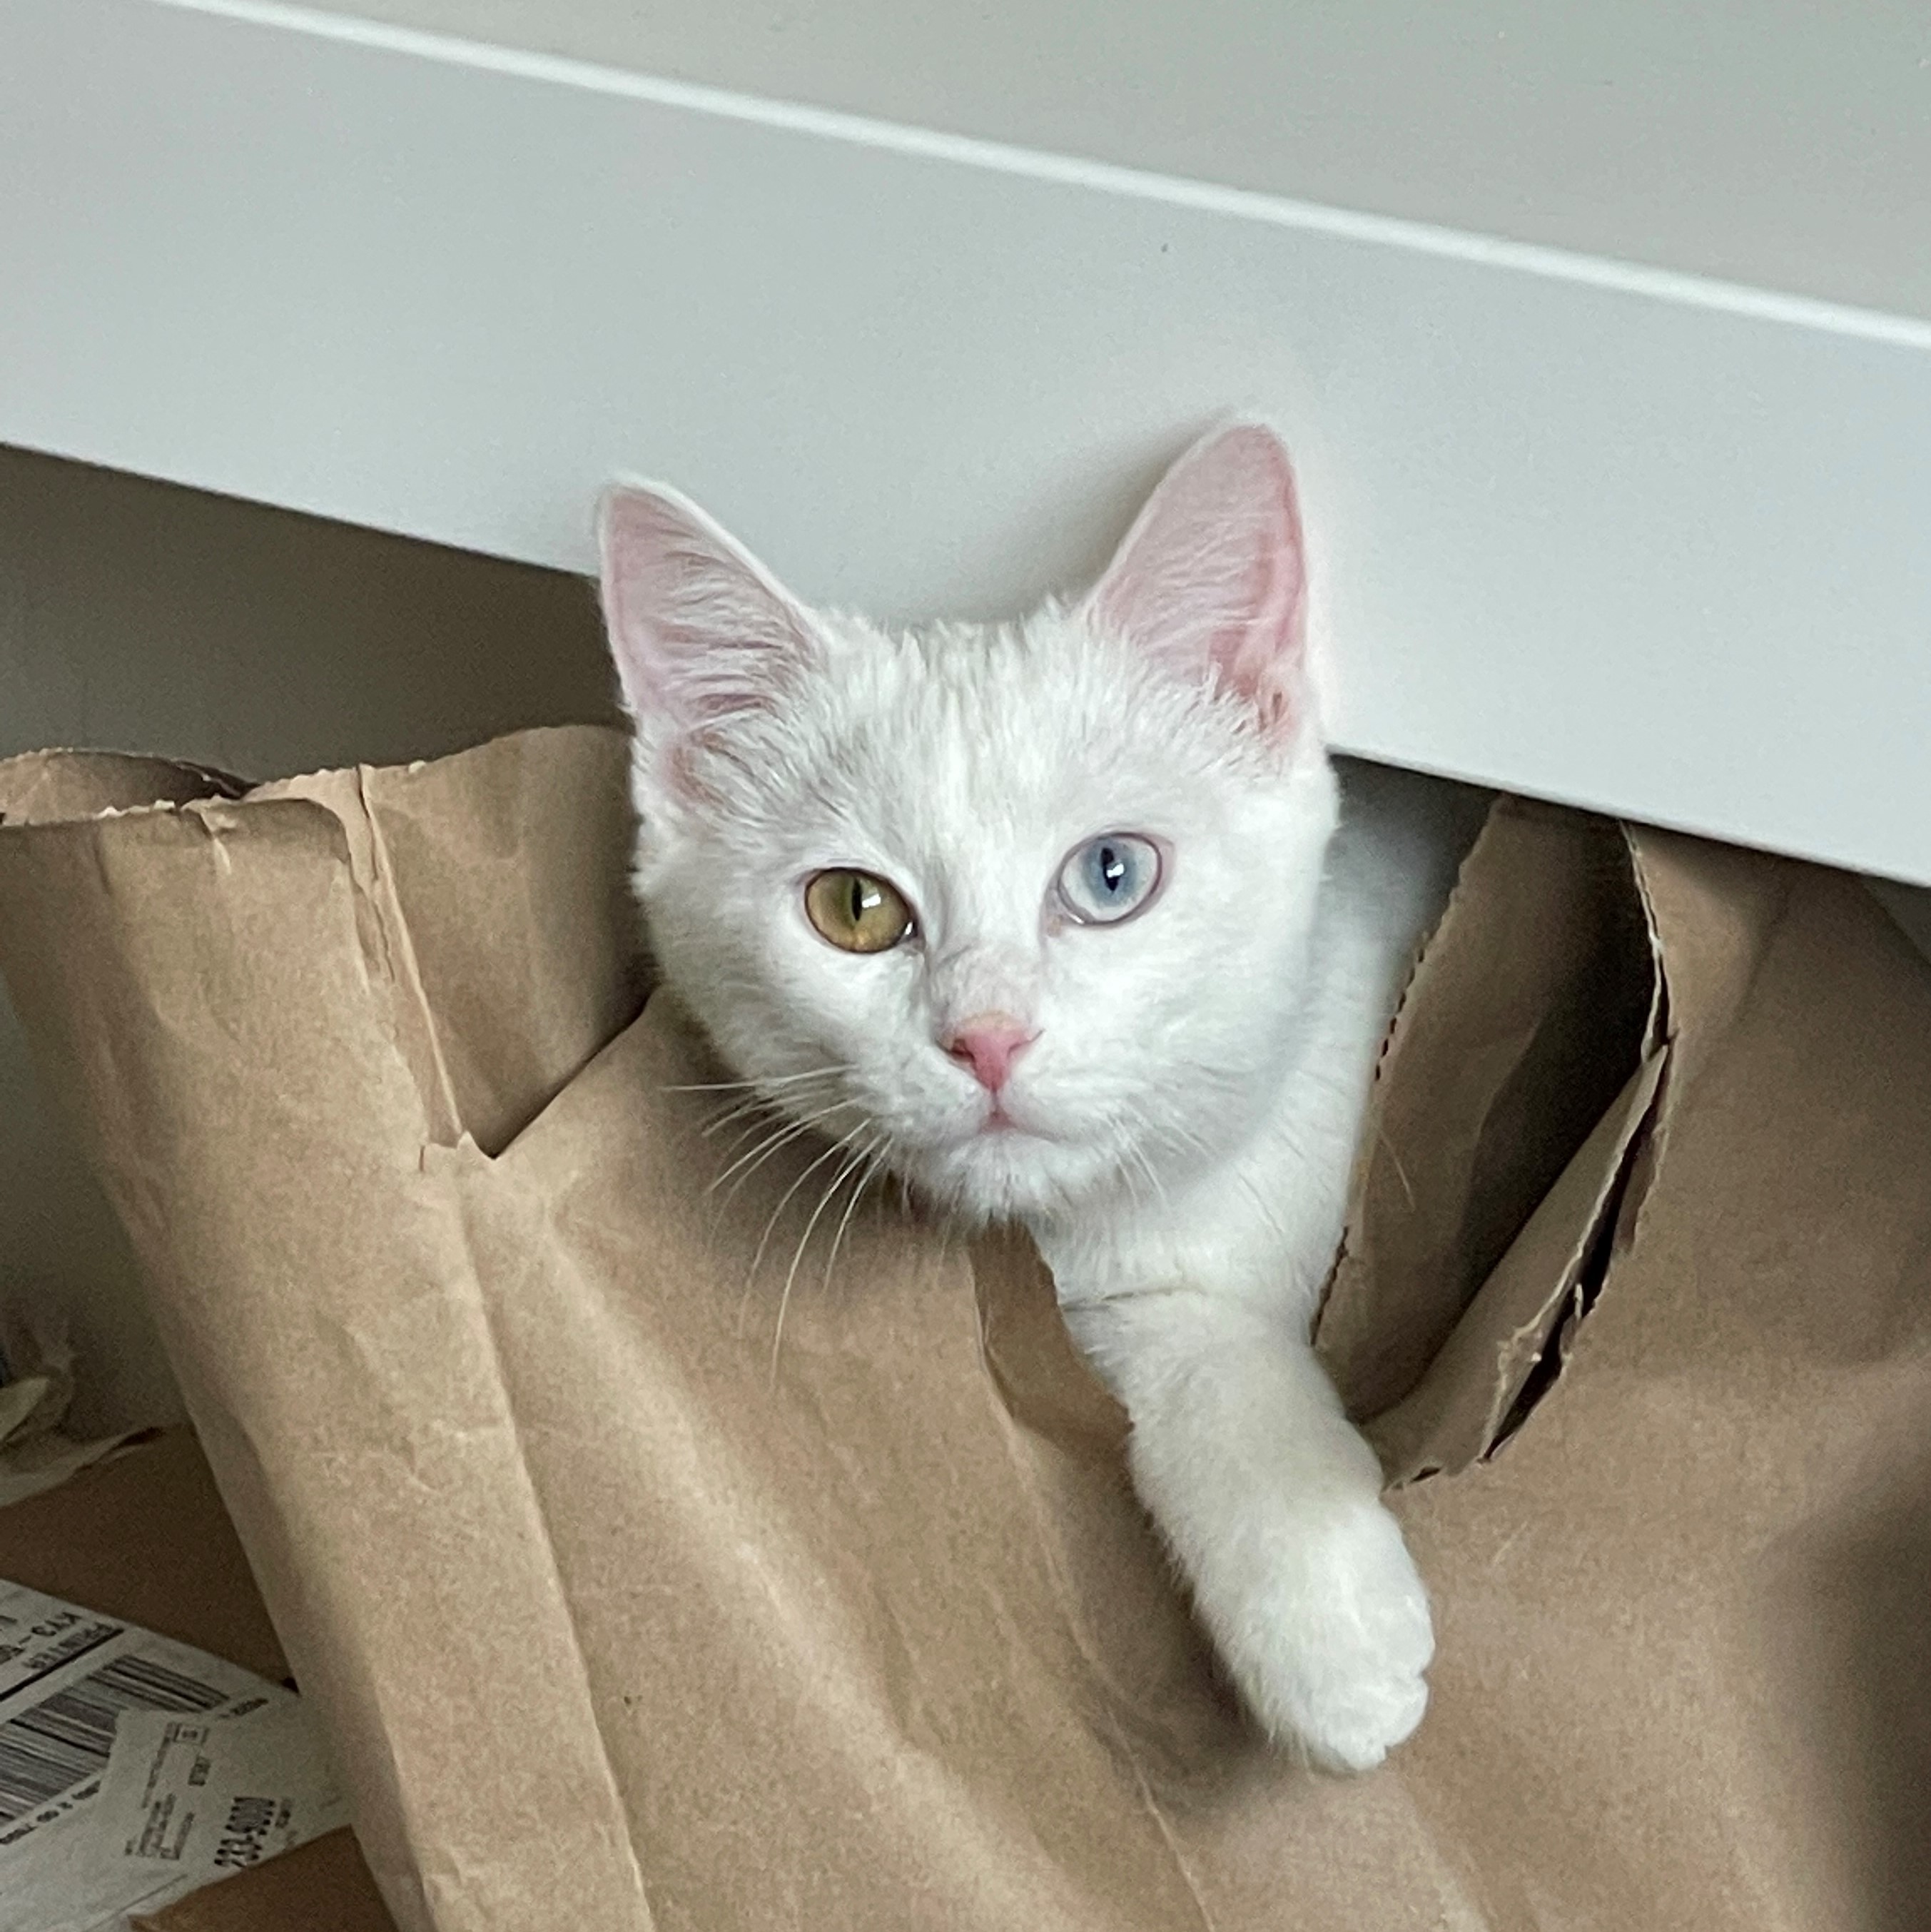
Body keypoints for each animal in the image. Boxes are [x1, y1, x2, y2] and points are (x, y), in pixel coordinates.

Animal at [594, 430, 1467, 1769]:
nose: (987, 1037)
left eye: (1110, 874)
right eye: (854, 907)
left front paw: (1332, 1633)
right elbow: (1179, 1339)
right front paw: (1328, 1628)